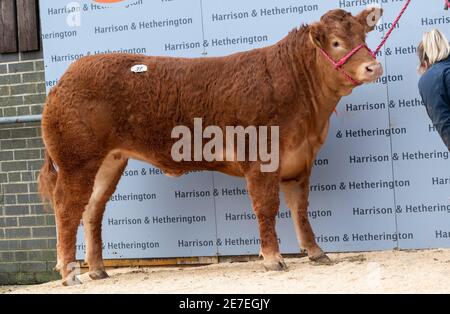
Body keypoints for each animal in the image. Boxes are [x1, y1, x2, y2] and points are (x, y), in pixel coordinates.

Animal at [39, 8, 384, 286]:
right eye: (336, 43)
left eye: (363, 36)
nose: (374, 67)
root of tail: (65, 78)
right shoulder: (260, 158)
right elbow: (266, 207)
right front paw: (273, 258)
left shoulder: (299, 162)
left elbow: (300, 210)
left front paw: (315, 252)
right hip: (76, 160)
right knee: (67, 208)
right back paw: (70, 273)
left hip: (109, 161)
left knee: (92, 209)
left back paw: (97, 269)